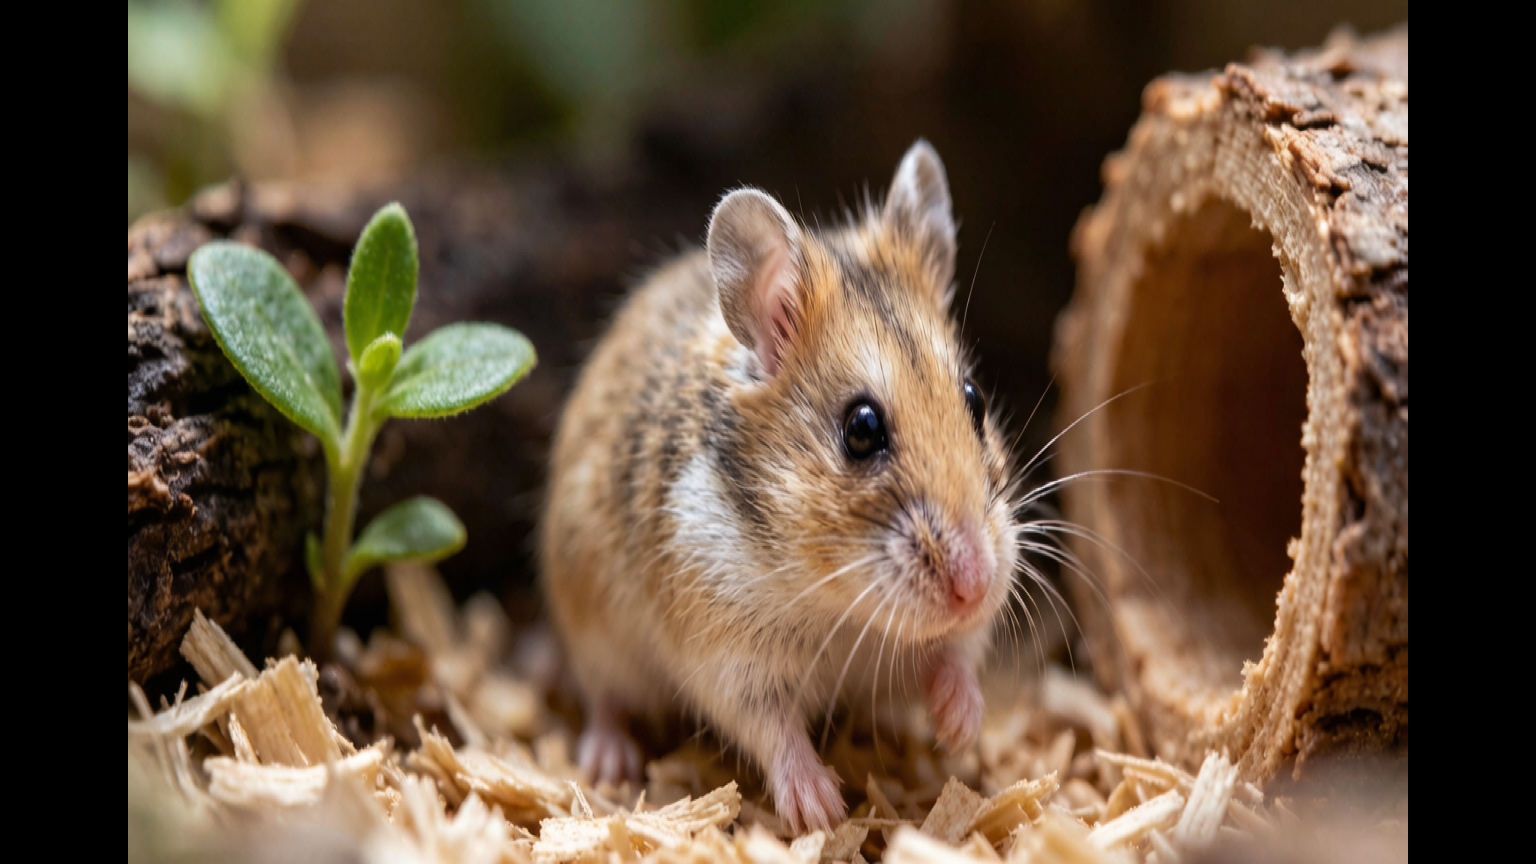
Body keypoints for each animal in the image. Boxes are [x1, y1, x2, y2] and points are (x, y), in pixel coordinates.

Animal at [539, 140, 1019, 833]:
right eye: (862, 429)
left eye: (975, 399)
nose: (976, 586)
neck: (840, 605)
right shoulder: (726, 656)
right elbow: (771, 727)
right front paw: (822, 809)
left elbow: (955, 655)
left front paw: (959, 727)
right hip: (591, 619)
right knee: (604, 696)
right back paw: (611, 761)